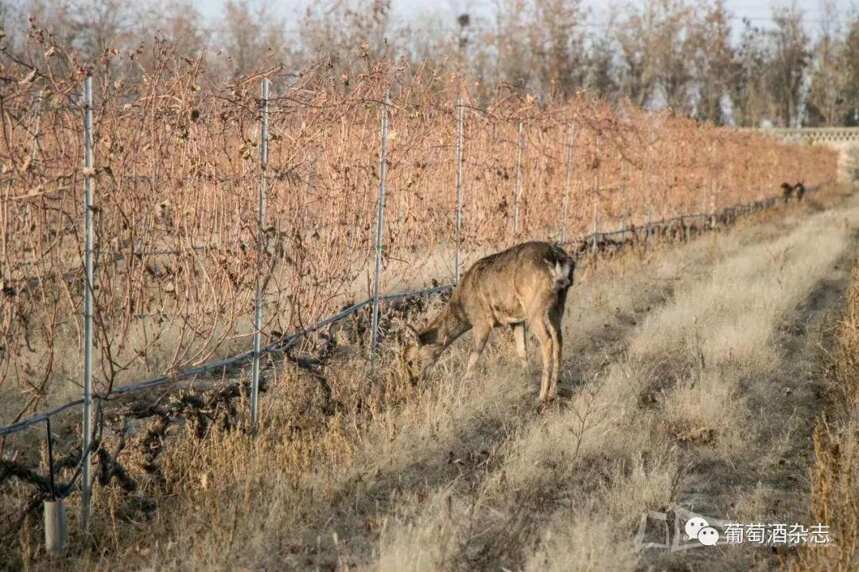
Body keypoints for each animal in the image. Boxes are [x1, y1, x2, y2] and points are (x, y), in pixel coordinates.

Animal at [404, 239, 576, 404]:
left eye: (410, 361)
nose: (413, 382)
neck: (463, 310)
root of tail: (557, 258)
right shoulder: (515, 320)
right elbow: (522, 351)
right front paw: (527, 382)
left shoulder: (482, 321)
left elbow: (473, 358)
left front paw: (463, 389)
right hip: (557, 304)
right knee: (558, 338)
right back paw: (553, 392)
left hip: (534, 306)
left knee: (547, 340)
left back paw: (542, 396)